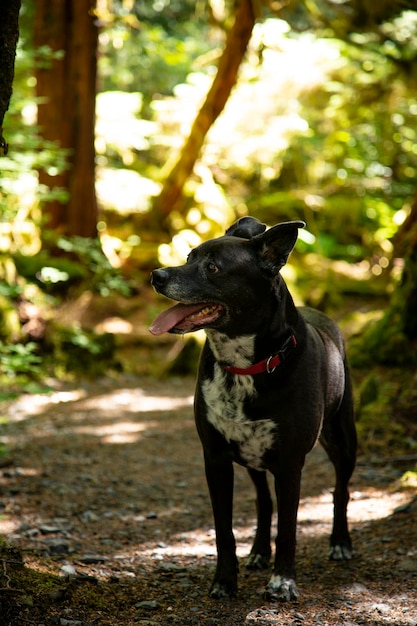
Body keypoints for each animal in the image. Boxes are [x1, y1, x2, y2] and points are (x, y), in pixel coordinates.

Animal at [149, 217, 354, 596]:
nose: (157, 275)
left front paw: (283, 581)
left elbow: (288, 528)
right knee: (263, 501)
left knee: (341, 491)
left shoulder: (290, 464)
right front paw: (224, 581)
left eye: (213, 268)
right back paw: (259, 551)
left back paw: (340, 542)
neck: (244, 367)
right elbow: (224, 530)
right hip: (252, 458)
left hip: (343, 441)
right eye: (188, 256)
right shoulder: (215, 459)